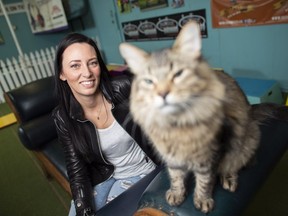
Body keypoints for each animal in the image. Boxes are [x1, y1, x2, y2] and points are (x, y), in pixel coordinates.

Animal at [119, 21, 260, 213]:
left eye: (178, 74)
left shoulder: (211, 155)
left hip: (245, 141)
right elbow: (176, 177)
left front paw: (202, 200)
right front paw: (177, 194)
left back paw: (229, 179)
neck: (177, 125)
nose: (162, 94)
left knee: (235, 163)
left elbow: (205, 181)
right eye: (149, 81)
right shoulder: (171, 157)